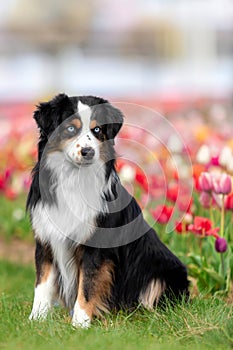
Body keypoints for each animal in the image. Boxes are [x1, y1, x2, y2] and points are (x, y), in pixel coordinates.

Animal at [26, 93, 189, 328]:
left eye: (97, 130)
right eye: (70, 128)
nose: (88, 152)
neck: (74, 179)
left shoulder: (96, 247)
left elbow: (87, 285)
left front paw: (80, 323)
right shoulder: (46, 239)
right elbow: (42, 285)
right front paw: (36, 319)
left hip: (164, 273)